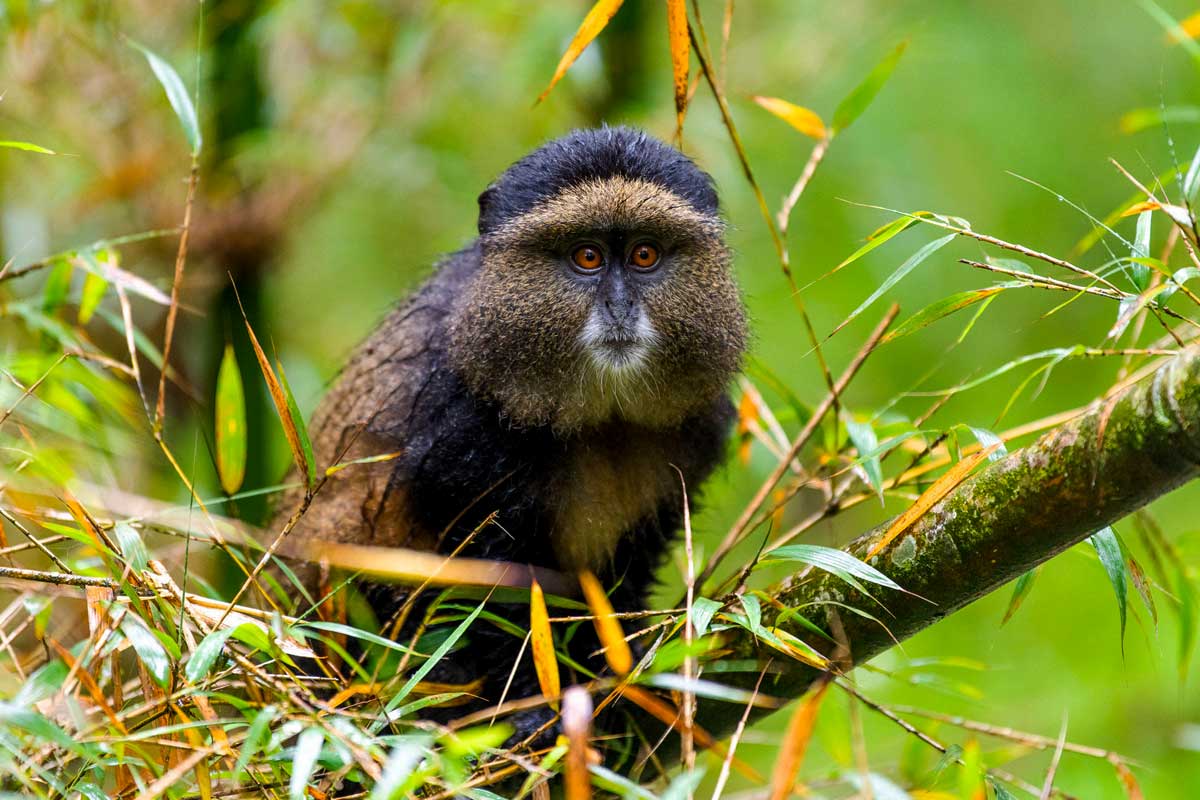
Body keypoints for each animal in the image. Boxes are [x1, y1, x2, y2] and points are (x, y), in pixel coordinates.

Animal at [272, 126, 748, 745]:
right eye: (587, 257)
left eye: (644, 255)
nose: (620, 306)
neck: (601, 415)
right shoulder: (459, 429)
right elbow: (489, 590)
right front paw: (527, 707)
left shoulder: (694, 431)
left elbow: (624, 574)